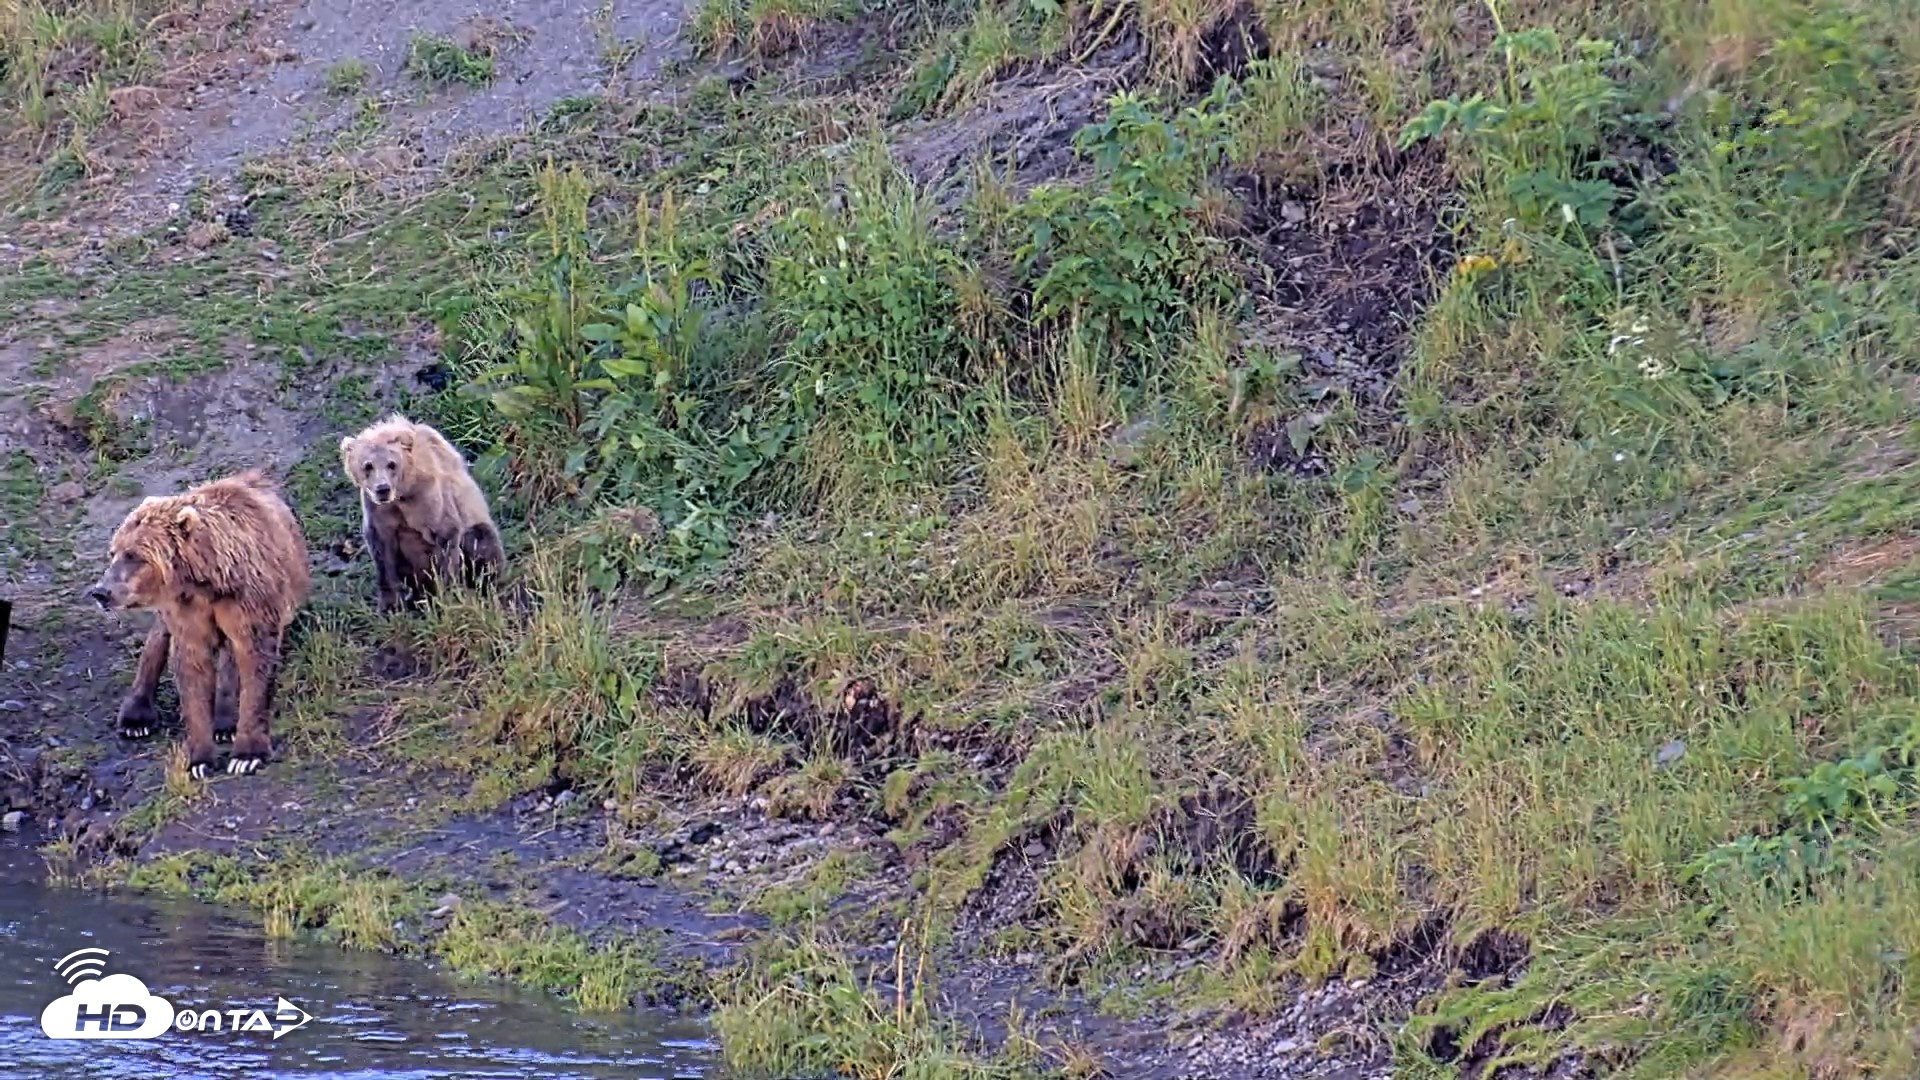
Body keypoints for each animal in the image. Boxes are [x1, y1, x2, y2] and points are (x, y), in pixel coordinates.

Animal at [86, 470, 311, 779]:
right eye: (113, 553)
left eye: (136, 556)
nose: (101, 592)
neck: (205, 581)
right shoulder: (186, 609)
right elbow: (192, 668)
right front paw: (200, 760)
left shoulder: (248, 600)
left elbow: (255, 661)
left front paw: (247, 755)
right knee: (159, 637)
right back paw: (136, 718)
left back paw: (225, 722)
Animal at [338, 414, 505, 615]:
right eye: (368, 466)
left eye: (391, 464)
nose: (382, 489)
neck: (403, 492)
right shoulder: (377, 509)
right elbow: (381, 551)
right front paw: (389, 605)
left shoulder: (429, 499)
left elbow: (446, 537)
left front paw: (447, 596)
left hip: (477, 527)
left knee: (480, 540)